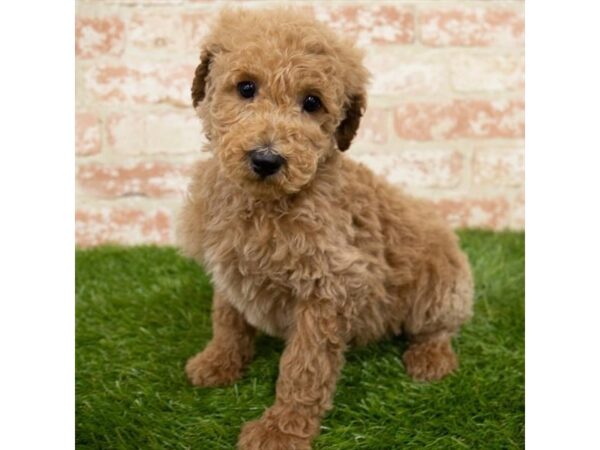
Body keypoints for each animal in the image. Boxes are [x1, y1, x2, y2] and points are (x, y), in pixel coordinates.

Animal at [178, 7, 474, 450]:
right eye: (246, 88)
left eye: (311, 102)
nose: (266, 159)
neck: (266, 202)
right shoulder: (228, 263)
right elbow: (227, 319)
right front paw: (218, 362)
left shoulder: (328, 288)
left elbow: (304, 365)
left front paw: (281, 429)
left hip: (441, 285)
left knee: (438, 327)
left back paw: (430, 358)